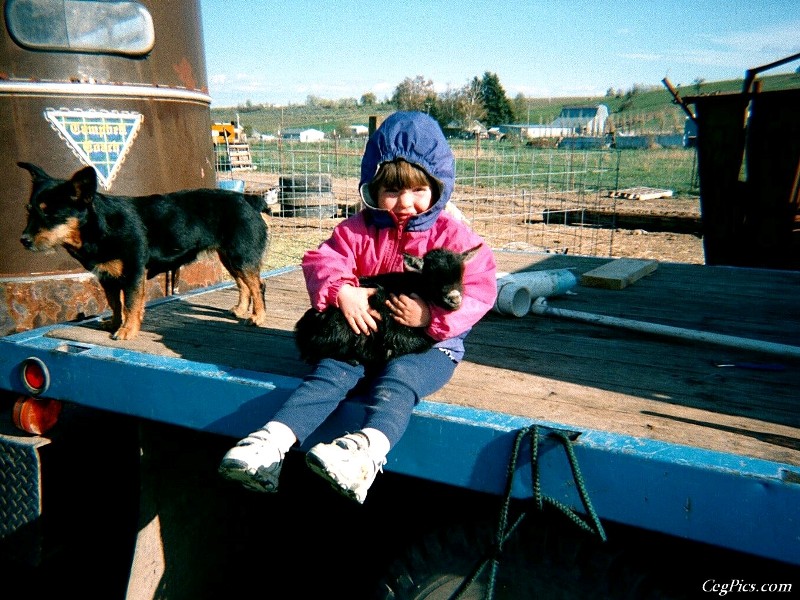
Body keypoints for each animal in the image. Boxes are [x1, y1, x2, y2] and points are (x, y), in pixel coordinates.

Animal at [18, 162, 268, 340]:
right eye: (29, 211)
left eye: (50, 213)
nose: (24, 240)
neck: (102, 225)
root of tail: (249, 200)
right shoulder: (107, 277)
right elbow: (115, 304)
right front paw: (115, 324)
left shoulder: (133, 274)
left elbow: (130, 304)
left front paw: (127, 331)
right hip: (230, 258)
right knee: (244, 285)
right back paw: (240, 310)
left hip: (241, 256)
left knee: (258, 285)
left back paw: (258, 317)